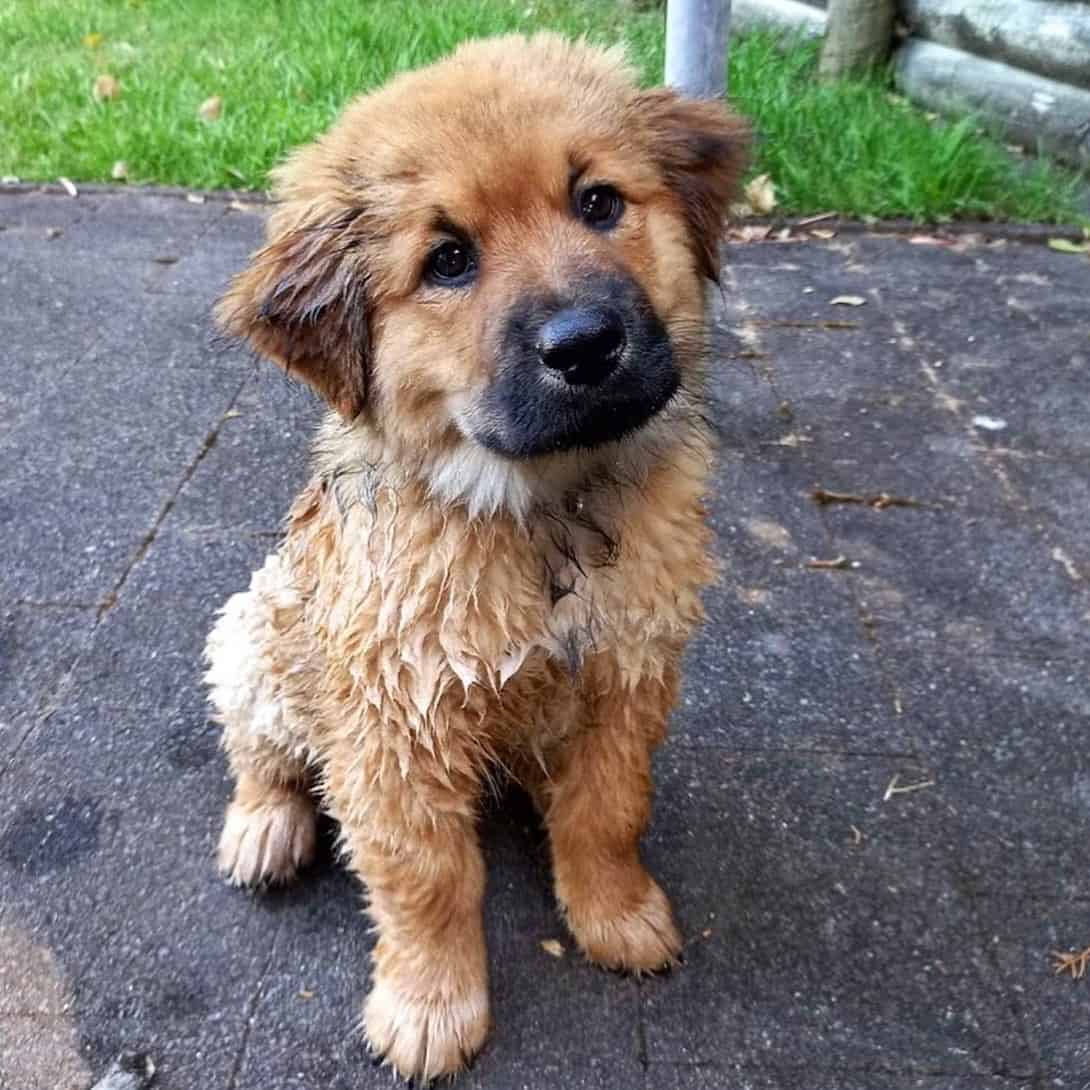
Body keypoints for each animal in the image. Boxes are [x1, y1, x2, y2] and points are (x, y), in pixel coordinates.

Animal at [204, 31, 745, 1081]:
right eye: (448, 261)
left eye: (599, 202)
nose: (585, 345)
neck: (543, 509)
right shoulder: (390, 722)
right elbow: (427, 874)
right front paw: (431, 1005)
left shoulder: (629, 670)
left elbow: (607, 809)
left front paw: (614, 912)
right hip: (256, 633)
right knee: (263, 749)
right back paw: (264, 826)